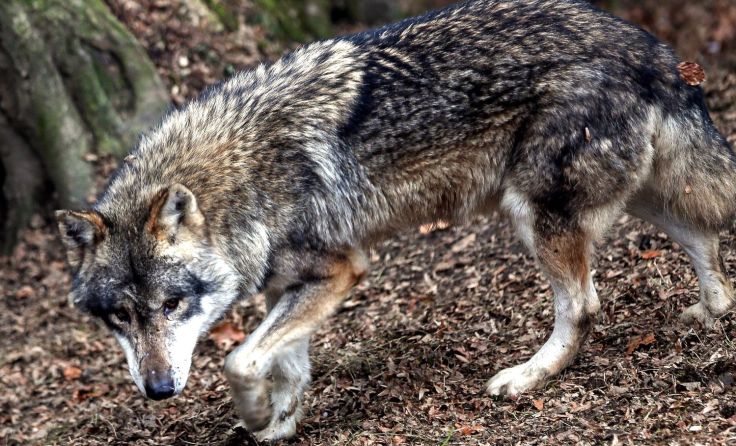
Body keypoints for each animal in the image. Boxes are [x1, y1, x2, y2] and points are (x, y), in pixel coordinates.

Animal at [56, 0, 735, 441]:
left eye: (172, 306)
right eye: (122, 316)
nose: (159, 390)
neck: (240, 178)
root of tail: (653, 47)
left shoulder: (340, 270)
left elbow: (239, 360)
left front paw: (253, 417)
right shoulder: (293, 284)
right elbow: (285, 364)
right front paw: (279, 422)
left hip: (533, 211)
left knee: (586, 306)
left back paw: (526, 379)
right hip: (635, 192)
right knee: (703, 236)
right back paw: (711, 313)